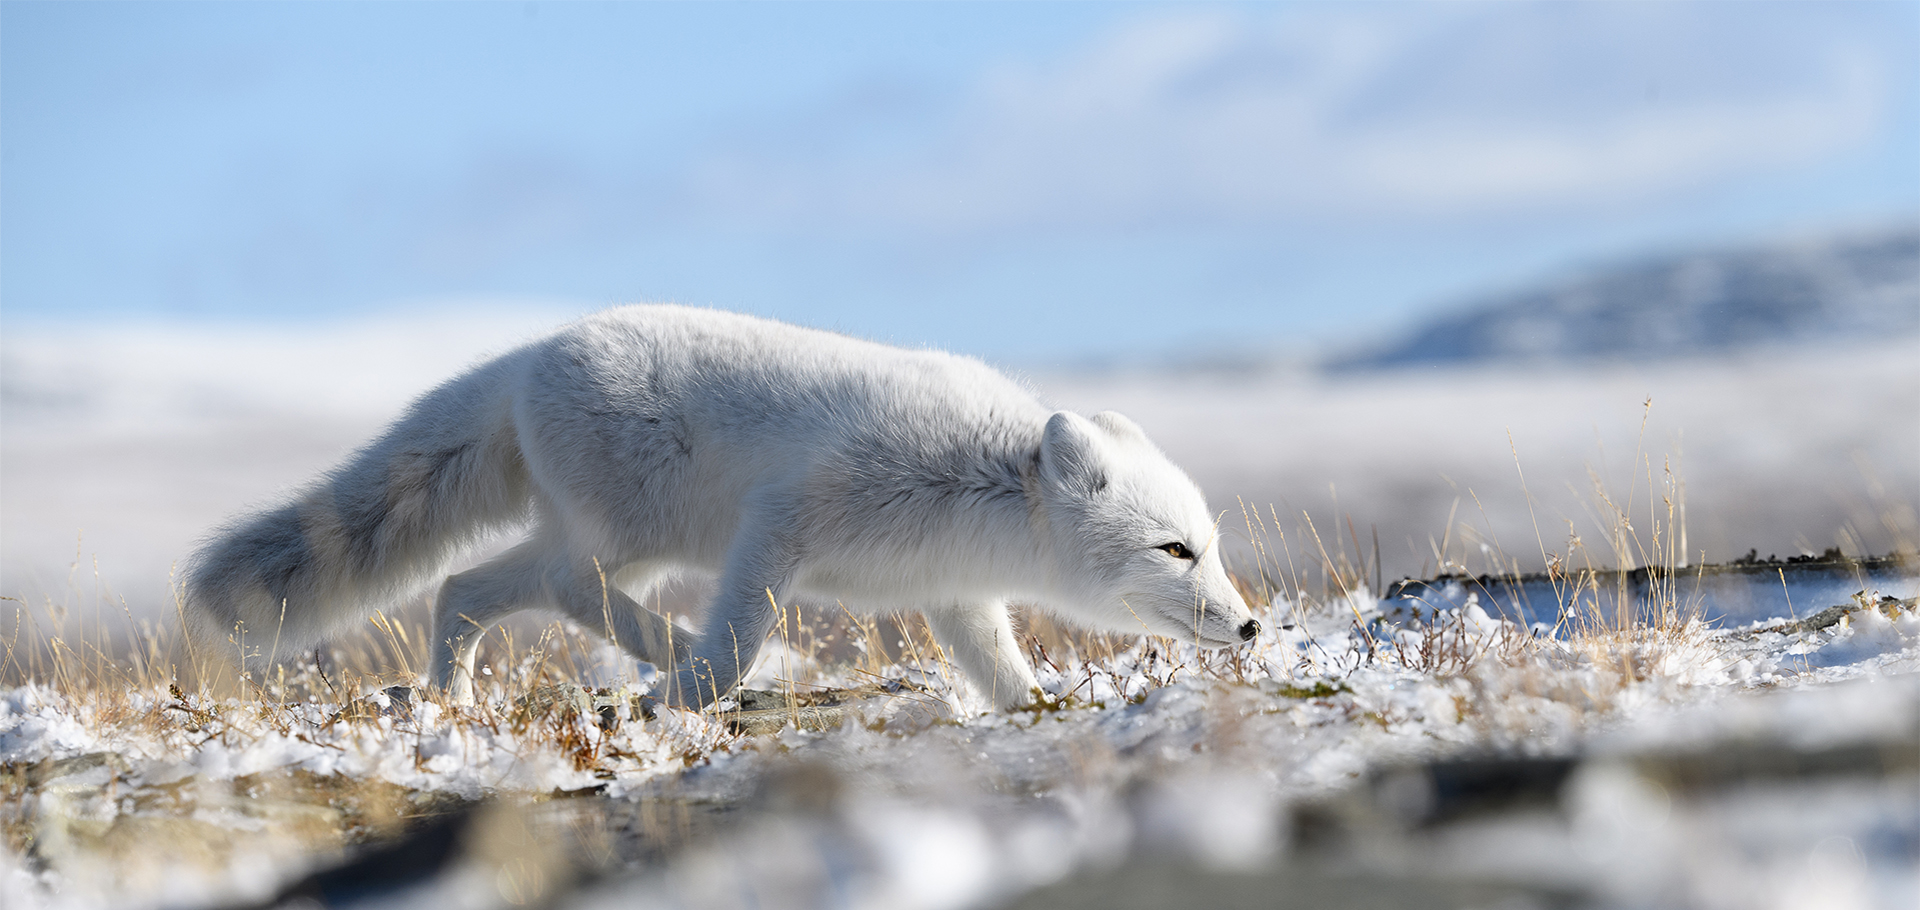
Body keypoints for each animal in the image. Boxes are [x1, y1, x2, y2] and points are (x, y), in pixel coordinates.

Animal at [185, 305, 1257, 710]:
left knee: (465, 587)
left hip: (612, 538)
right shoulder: (780, 524)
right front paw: (690, 697)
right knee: (561, 586)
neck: (985, 483)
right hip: (636, 529)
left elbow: (1000, 669)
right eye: (1175, 551)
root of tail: (527, 354)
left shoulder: (953, 594)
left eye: (1209, 546)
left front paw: (1038, 711)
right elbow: (741, 634)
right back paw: (670, 665)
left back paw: (455, 693)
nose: (1250, 625)